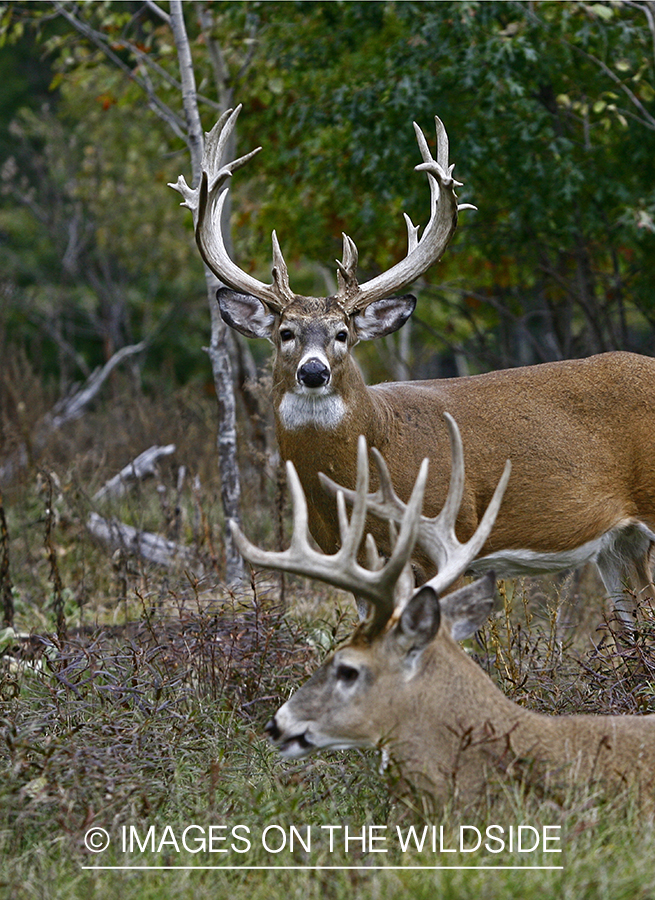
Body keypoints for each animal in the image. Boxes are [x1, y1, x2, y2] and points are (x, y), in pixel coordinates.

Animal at [172, 107, 655, 624]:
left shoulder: (451, 537)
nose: (313, 372)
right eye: (286, 333)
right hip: (616, 544)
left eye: (343, 334)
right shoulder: (350, 562)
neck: (376, 444)